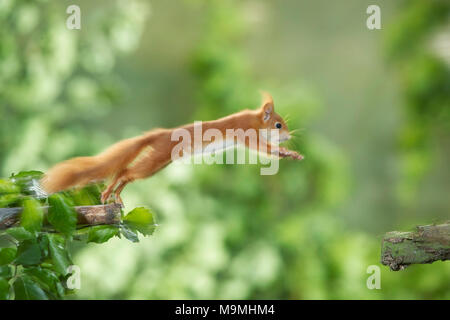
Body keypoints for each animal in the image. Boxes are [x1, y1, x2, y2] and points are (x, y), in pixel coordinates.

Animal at [40, 92, 304, 205]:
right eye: (278, 125)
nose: (289, 136)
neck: (254, 120)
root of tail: (160, 135)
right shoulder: (247, 134)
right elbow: (264, 149)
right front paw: (287, 152)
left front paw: (292, 152)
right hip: (157, 159)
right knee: (126, 171)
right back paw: (109, 193)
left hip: (158, 162)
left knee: (127, 173)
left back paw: (114, 194)